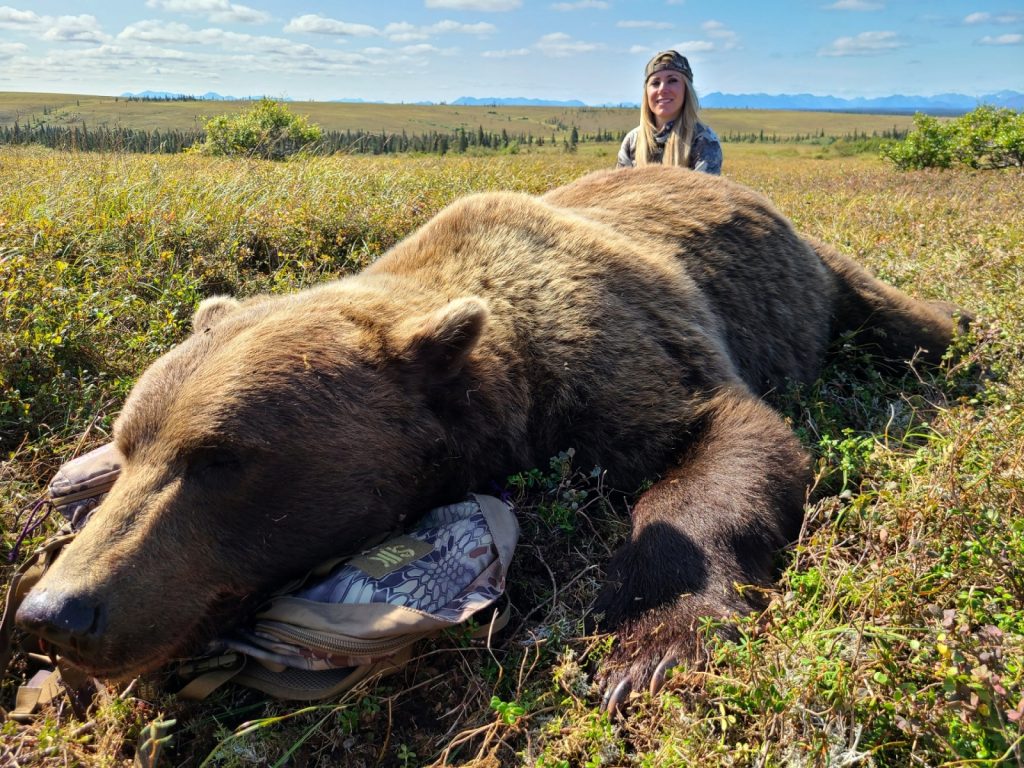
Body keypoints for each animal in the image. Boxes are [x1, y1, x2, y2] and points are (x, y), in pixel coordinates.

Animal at [14, 166, 958, 716]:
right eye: (132, 445)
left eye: (220, 460)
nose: (58, 613)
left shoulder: (623, 350)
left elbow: (724, 445)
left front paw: (648, 645)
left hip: (822, 276)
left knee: (908, 321)